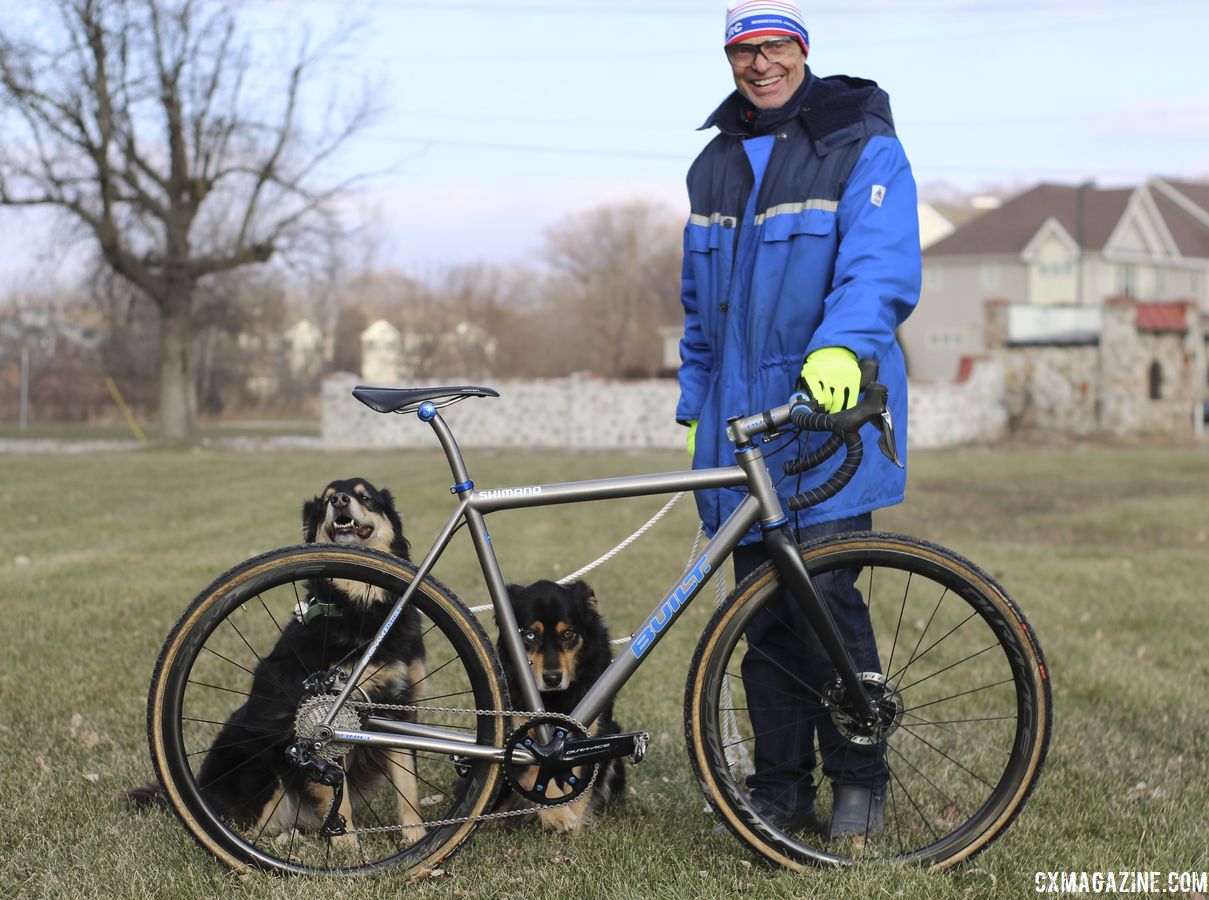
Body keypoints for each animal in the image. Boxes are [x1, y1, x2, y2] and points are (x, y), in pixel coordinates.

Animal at [129, 479, 425, 841]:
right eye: (327, 500)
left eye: (365, 496)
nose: (340, 500)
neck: (360, 607)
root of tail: (201, 788)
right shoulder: (325, 717)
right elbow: (338, 800)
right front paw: (348, 848)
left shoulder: (403, 706)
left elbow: (408, 789)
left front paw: (417, 838)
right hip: (259, 766)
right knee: (245, 823)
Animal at [493, 580, 623, 832]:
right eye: (530, 634)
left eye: (568, 634)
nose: (552, 678)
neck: (554, 698)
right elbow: (534, 769)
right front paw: (558, 815)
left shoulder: (594, 731)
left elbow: (580, 785)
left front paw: (574, 824)